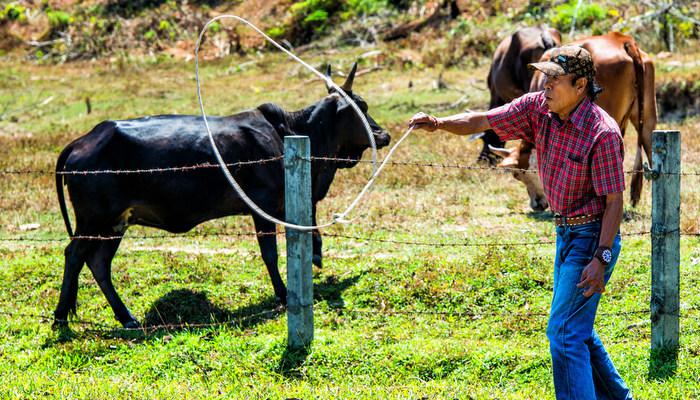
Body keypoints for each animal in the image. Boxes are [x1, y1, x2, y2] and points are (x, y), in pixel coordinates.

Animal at [52, 64, 392, 328]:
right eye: (361, 106)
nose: (384, 134)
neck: (288, 133)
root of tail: (82, 141)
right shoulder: (263, 208)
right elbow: (270, 254)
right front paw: (283, 294)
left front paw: (316, 257)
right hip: (94, 221)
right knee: (75, 256)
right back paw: (62, 316)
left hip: (114, 225)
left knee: (98, 263)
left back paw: (124, 317)